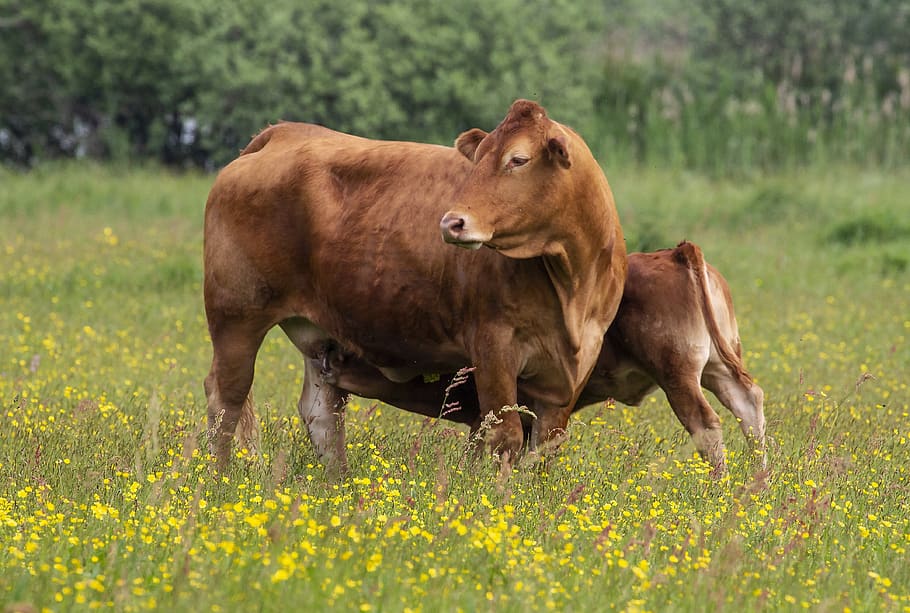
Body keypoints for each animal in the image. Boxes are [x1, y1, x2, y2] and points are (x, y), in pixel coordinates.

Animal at [203, 100, 626, 475]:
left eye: (518, 160)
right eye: (479, 157)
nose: (452, 222)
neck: (572, 283)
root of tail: (282, 133)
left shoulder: (569, 373)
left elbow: (544, 448)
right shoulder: (493, 346)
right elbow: (503, 436)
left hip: (318, 336)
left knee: (320, 413)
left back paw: (338, 483)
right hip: (236, 316)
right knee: (226, 398)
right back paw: (219, 478)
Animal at [314, 241, 766, 473]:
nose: (328, 357)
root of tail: (674, 252)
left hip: (678, 374)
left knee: (706, 424)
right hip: (717, 367)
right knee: (749, 404)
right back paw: (757, 482)